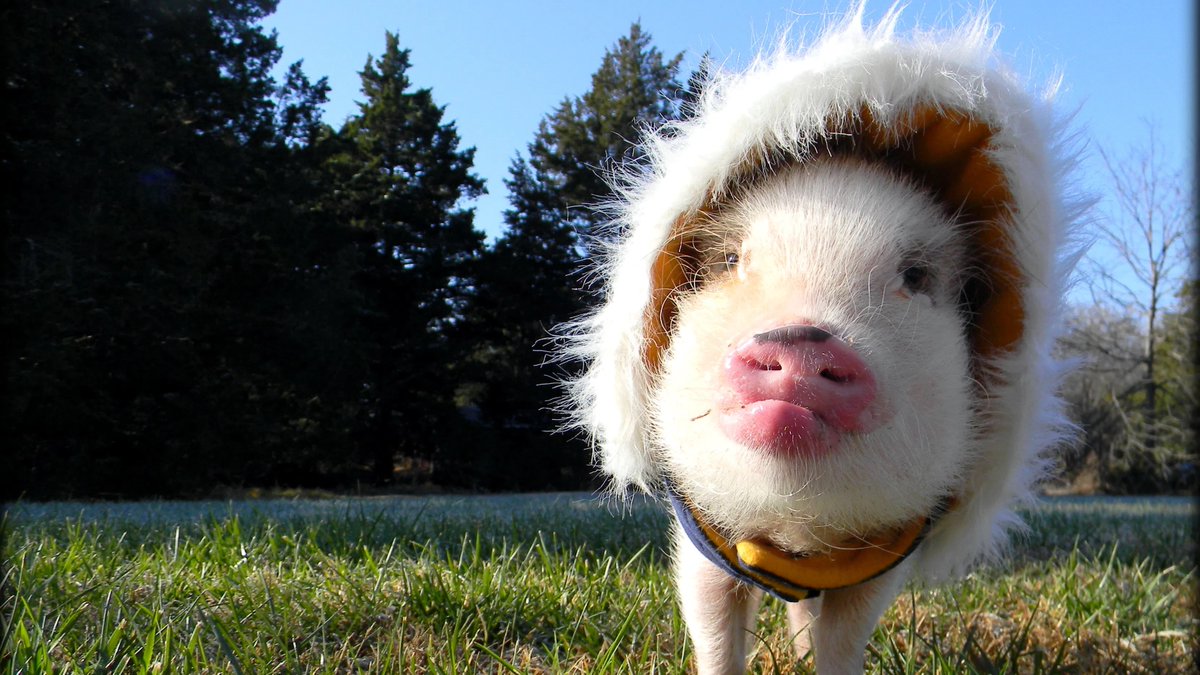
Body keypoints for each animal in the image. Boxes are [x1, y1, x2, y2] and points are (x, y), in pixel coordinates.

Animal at [560, 8, 1084, 674]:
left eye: (916, 277)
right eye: (729, 260)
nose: (804, 339)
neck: (796, 534)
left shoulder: (883, 558)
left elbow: (841, 640)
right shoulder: (703, 538)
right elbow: (715, 631)